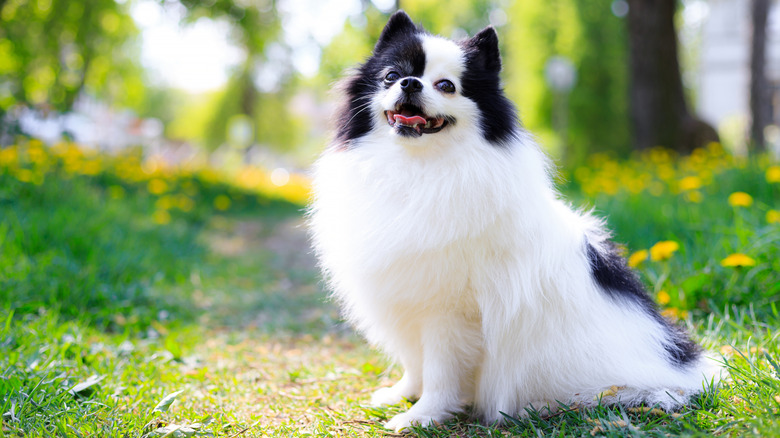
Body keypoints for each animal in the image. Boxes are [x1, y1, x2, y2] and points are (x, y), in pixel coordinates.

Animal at [308, 9, 724, 432]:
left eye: (446, 86)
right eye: (391, 76)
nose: (410, 83)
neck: (417, 168)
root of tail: (686, 371)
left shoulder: (448, 312)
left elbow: (439, 372)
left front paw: (421, 416)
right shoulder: (405, 299)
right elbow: (414, 362)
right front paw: (401, 394)